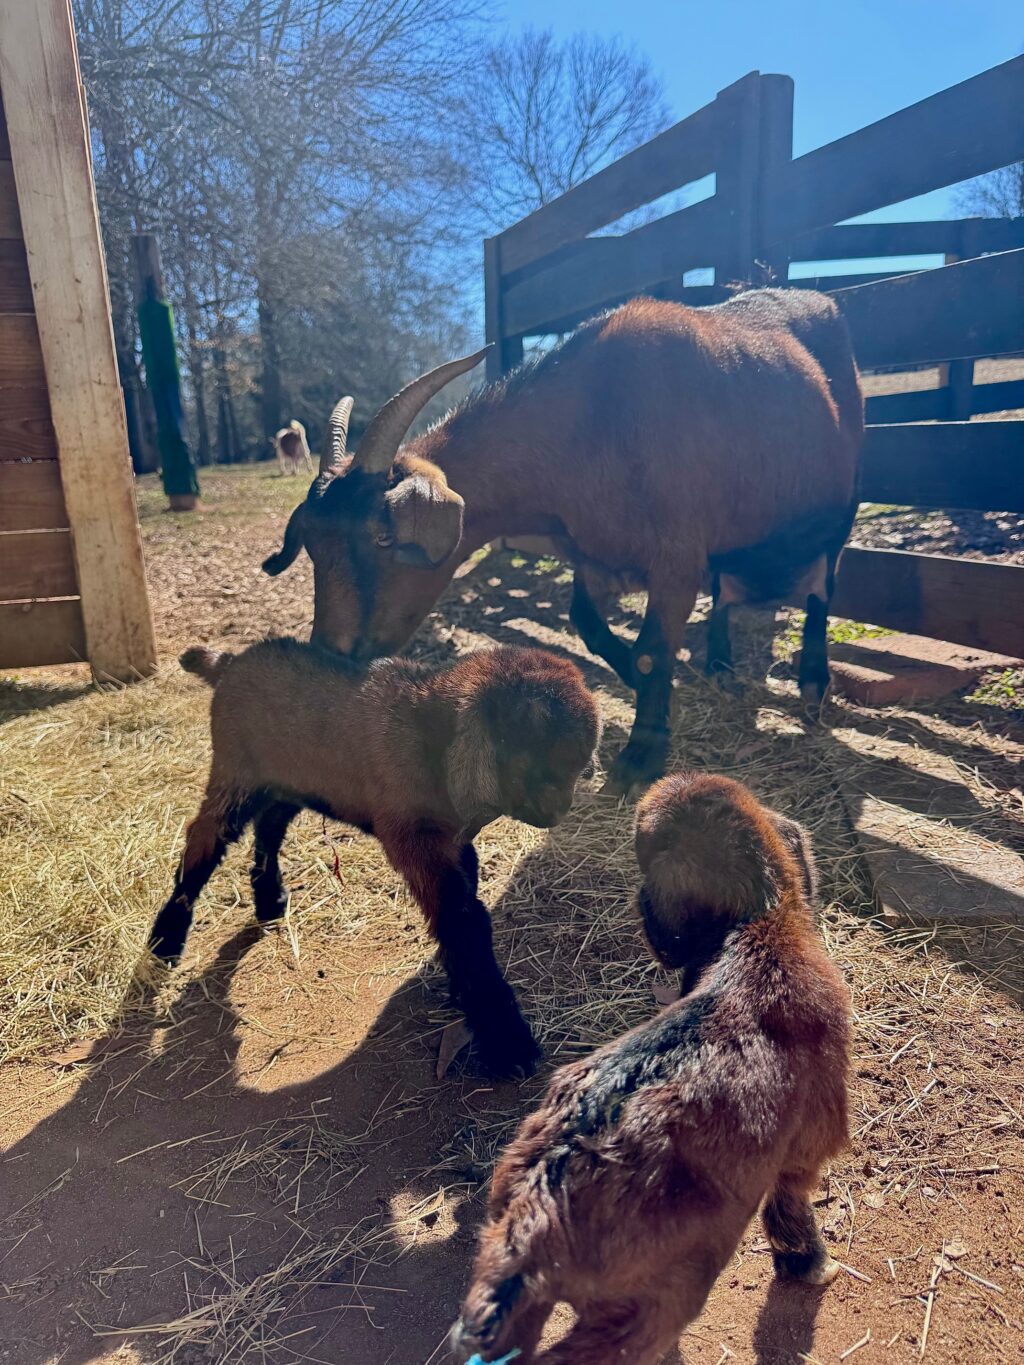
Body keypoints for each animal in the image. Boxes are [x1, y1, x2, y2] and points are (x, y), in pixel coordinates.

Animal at [150, 641, 600, 1078]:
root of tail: (229, 662)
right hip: (236, 771)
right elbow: (465, 922)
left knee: (270, 824)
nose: (561, 809)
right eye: (544, 767)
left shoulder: (452, 842)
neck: (432, 739)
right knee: (205, 839)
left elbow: (464, 907)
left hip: (291, 780)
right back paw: (167, 938)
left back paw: (269, 900)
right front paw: (508, 1043)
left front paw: (465, 994)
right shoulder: (418, 842)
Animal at [261, 290, 863, 796]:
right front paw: (636, 690)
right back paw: (718, 665)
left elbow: (651, 651)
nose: (330, 653)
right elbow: (590, 627)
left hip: (844, 500)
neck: (596, 419)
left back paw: (812, 680)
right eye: (311, 545)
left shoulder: (676, 557)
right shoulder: (594, 556)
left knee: (824, 587)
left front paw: (641, 756)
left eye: (383, 534)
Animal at [452, 771, 850, 1364]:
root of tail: (544, 1195)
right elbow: (791, 1206)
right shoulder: (805, 1145)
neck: (761, 926)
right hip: (652, 1301)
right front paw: (809, 1265)